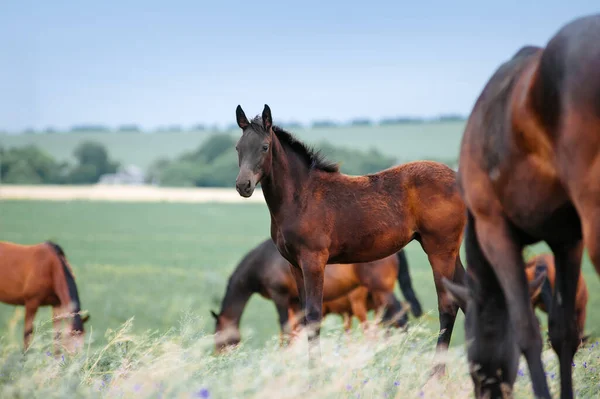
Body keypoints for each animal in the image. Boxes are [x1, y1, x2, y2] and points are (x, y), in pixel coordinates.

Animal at [211, 239, 422, 352]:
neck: (264, 260)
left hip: (381, 290)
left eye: (218, 335)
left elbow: (285, 327)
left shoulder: (280, 297)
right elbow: (296, 329)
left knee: (400, 316)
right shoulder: (295, 302)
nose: (220, 356)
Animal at [233, 104, 464, 372]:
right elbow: (303, 318)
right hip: (451, 252)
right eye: (238, 147)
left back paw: (436, 373)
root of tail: (457, 179)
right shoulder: (294, 265)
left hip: (439, 250)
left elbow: (313, 315)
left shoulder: (314, 261)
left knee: (448, 305)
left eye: (264, 147)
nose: (243, 185)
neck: (302, 197)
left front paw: (316, 374)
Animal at [442, 14, 600, 399]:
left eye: (471, 358)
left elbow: (527, 332)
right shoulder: (568, 239)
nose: (485, 391)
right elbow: (563, 333)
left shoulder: (495, 228)